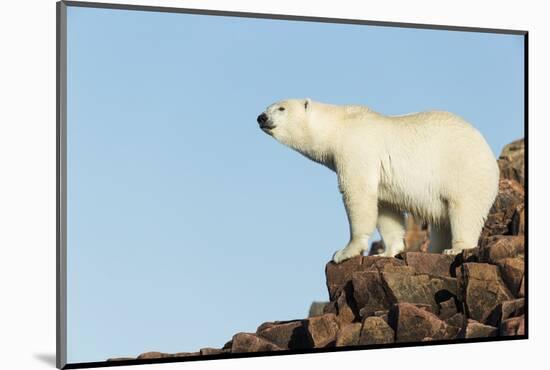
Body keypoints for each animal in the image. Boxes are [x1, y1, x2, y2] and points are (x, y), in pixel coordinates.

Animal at [256, 98, 502, 264]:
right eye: (268, 107)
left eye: (281, 108)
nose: (261, 117)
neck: (339, 126)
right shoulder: (383, 179)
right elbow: (386, 209)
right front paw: (387, 252)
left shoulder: (356, 149)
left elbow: (358, 194)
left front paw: (343, 252)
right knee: (443, 222)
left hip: (463, 170)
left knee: (464, 210)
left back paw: (455, 249)